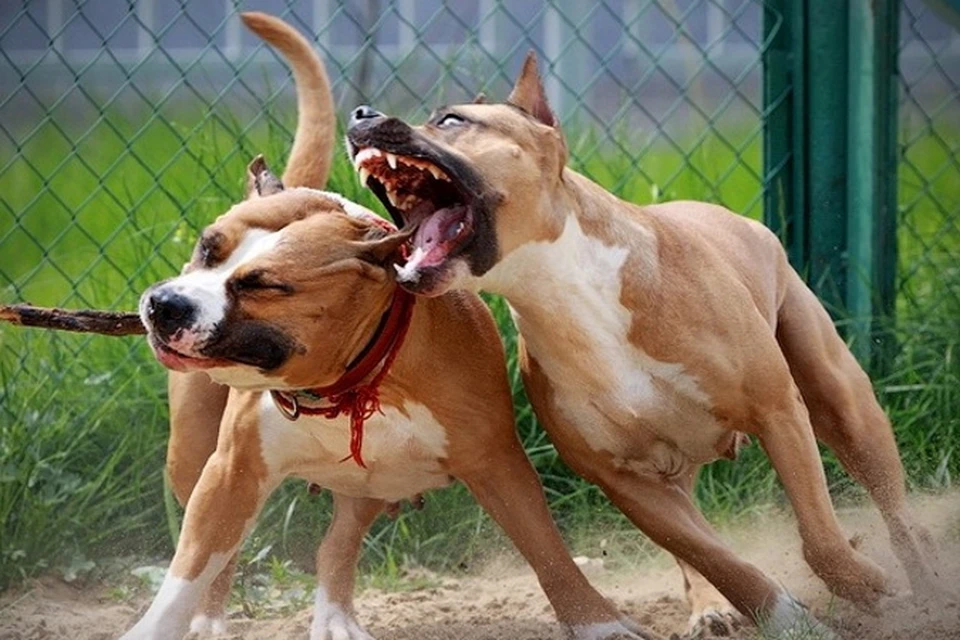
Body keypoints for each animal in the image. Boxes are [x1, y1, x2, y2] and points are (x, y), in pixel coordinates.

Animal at [118, 13, 652, 640]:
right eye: (207, 248)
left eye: (264, 285)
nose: (164, 305)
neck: (351, 381)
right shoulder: (230, 474)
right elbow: (187, 573)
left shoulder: (499, 463)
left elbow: (547, 551)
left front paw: (598, 623)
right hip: (193, 456)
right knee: (223, 557)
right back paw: (213, 619)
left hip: (370, 481)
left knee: (336, 542)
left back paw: (334, 616)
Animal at [344, 53, 944, 636]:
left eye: (451, 121)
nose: (359, 113)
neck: (564, 290)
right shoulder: (626, 481)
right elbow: (720, 561)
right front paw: (786, 619)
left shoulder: (778, 411)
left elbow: (819, 534)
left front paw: (864, 585)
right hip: (676, 471)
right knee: (701, 549)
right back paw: (711, 609)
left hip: (841, 401)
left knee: (896, 511)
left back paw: (928, 588)